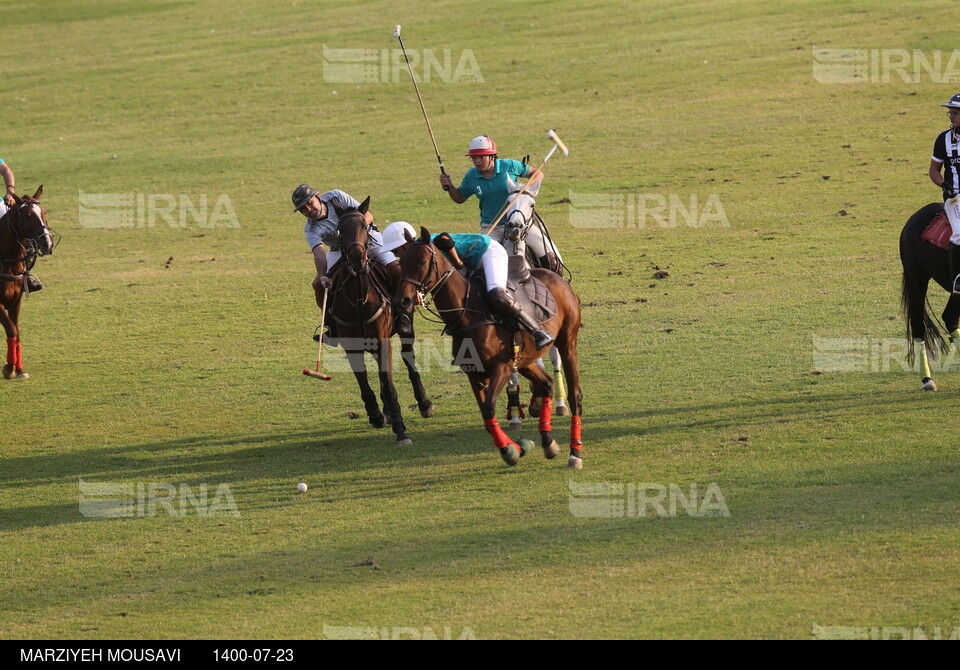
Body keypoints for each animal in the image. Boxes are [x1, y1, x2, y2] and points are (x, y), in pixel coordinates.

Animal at [0, 186, 54, 380]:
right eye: (27, 215)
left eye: (44, 212)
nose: (48, 244)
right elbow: (11, 329)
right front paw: (9, 368)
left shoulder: (16, 301)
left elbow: (17, 331)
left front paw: (20, 369)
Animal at [328, 198, 436, 446]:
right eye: (340, 230)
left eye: (364, 226)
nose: (357, 258)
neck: (359, 299)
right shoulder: (352, 346)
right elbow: (365, 384)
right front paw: (376, 415)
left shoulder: (383, 340)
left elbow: (389, 384)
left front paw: (400, 430)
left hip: (405, 329)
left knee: (407, 357)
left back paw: (424, 404)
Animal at [392, 226, 584, 468]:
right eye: (401, 261)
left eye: (422, 261)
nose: (402, 301)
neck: (466, 314)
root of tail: (559, 279)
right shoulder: (474, 372)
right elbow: (486, 414)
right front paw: (514, 449)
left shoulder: (502, 367)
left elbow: (490, 406)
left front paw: (512, 450)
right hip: (525, 360)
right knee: (547, 383)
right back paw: (548, 442)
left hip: (567, 342)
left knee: (575, 395)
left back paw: (574, 454)